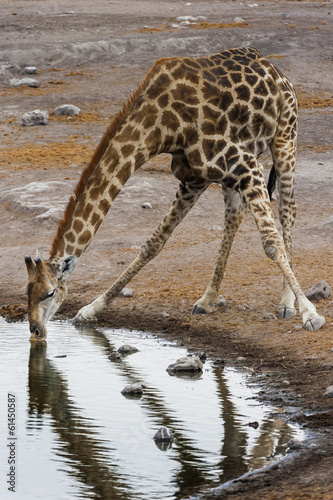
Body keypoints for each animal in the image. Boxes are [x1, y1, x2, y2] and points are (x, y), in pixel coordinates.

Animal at [25, 47, 324, 340]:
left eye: (50, 292)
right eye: (27, 291)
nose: (36, 329)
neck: (161, 126)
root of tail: (274, 69)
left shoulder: (246, 165)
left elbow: (271, 243)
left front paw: (310, 313)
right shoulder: (195, 178)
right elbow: (153, 244)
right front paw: (90, 309)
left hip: (285, 135)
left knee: (287, 209)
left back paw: (286, 303)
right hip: (232, 171)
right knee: (235, 214)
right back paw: (207, 299)